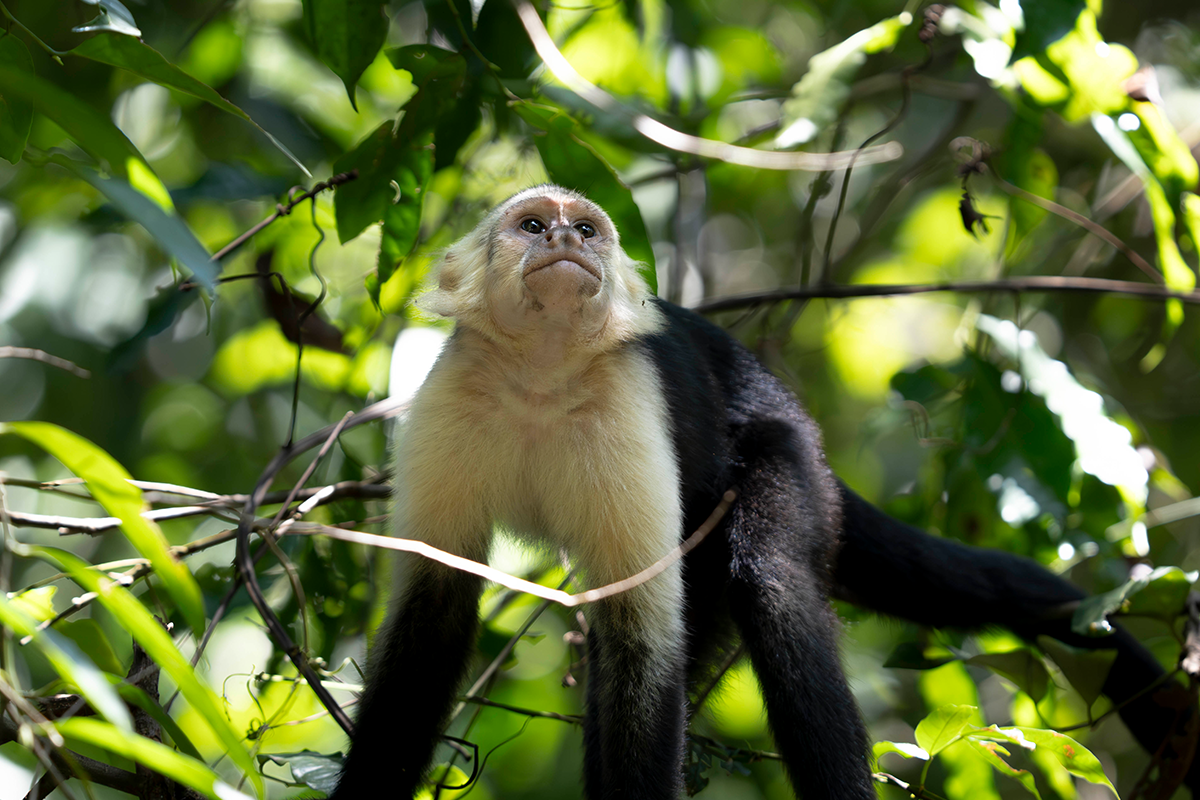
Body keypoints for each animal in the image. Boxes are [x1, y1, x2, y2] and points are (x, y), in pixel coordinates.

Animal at [332, 185, 1198, 799]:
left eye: (588, 231)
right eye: (534, 226)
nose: (568, 242)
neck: (542, 375)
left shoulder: (626, 400)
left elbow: (642, 634)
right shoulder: (451, 395)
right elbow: (433, 616)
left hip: (784, 462)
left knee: (771, 583)